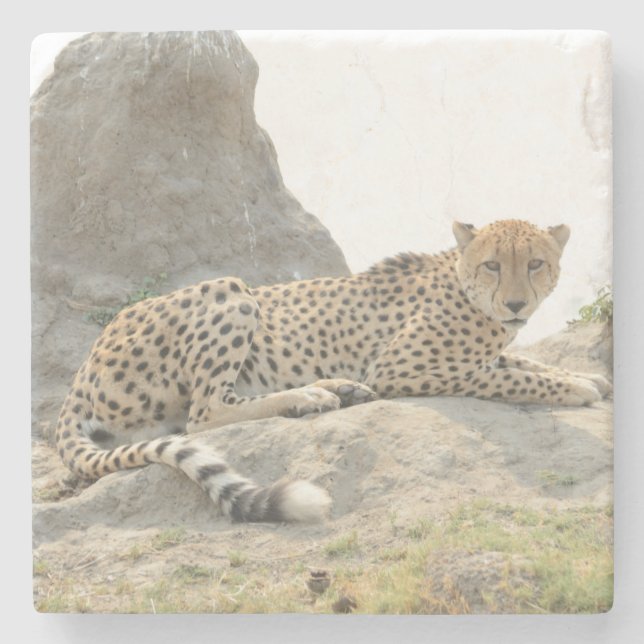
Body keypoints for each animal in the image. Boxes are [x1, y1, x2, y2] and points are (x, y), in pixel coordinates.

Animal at [53, 219, 611, 523]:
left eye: (536, 263)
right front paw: (576, 387)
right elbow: (509, 375)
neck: (462, 281)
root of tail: (83, 368)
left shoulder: (481, 350)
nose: (516, 303)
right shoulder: (404, 367)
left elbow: (520, 358)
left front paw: (588, 377)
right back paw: (310, 397)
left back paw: (337, 388)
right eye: (493, 264)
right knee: (204, 413)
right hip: (230, 290)